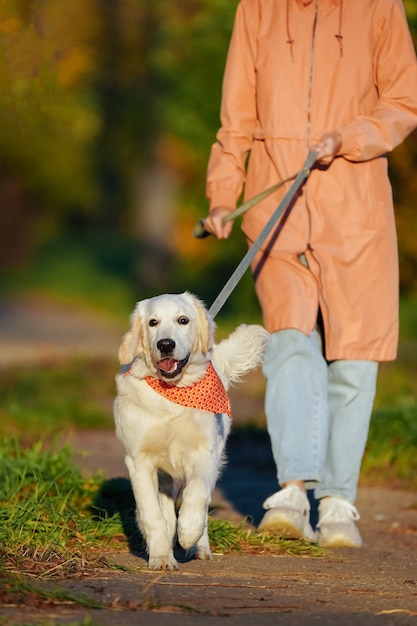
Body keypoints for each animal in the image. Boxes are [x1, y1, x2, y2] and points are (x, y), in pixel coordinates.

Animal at [114, 290, 268, 568]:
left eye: (183, 320)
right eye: (153, 322)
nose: (165, 344)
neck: (172, 394)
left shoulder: (203, 454)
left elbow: (196, 496)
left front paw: (188, 533)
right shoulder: (139, 460)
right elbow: (152, 513)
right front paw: (161, 556)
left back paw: (199, 546)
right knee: (165, 509)